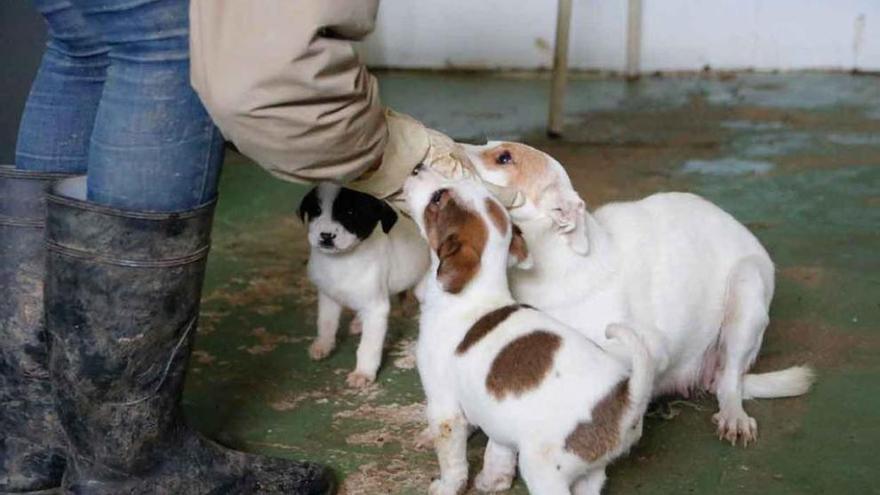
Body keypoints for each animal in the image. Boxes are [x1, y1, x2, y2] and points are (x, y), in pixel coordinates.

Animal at [298, 184, 432, 390]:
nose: (326, 236)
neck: (341, 261)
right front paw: (323, 345)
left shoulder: (376, 309)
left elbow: (368, 346)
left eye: (350, 212)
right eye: (317, 211)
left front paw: (363, 373)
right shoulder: (328, 297)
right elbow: (326, 323)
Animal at [402, 169, 656, 494]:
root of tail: (627, 400)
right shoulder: (498, 417)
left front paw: (447, 486)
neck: (473, 294)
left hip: (542, 469)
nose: (416, 169)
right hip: (590, 470)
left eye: (437, 198)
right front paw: (492, 479)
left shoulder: (444, 406)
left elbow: (452, 460)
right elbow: (498, 448)